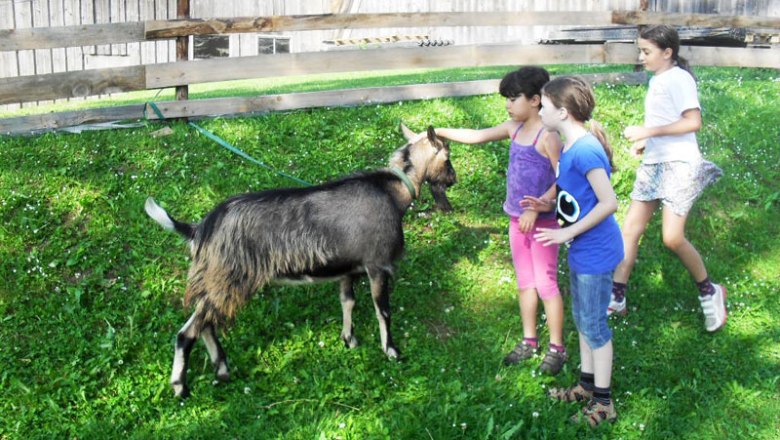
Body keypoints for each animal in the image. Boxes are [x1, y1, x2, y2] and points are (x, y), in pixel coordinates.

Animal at [145, 124, 458, 398]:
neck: (393, 192)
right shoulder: (377, 265)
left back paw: (221, 370)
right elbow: (383, 311)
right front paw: (391, 351)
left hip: (218, 280)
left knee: (206, 323)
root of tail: (201, 228)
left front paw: (349, 340)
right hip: (230, 278)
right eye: (447, 156)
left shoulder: (347, 268)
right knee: (188, 332)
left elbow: (348, 302)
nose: (453, 180)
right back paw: (181, 387)